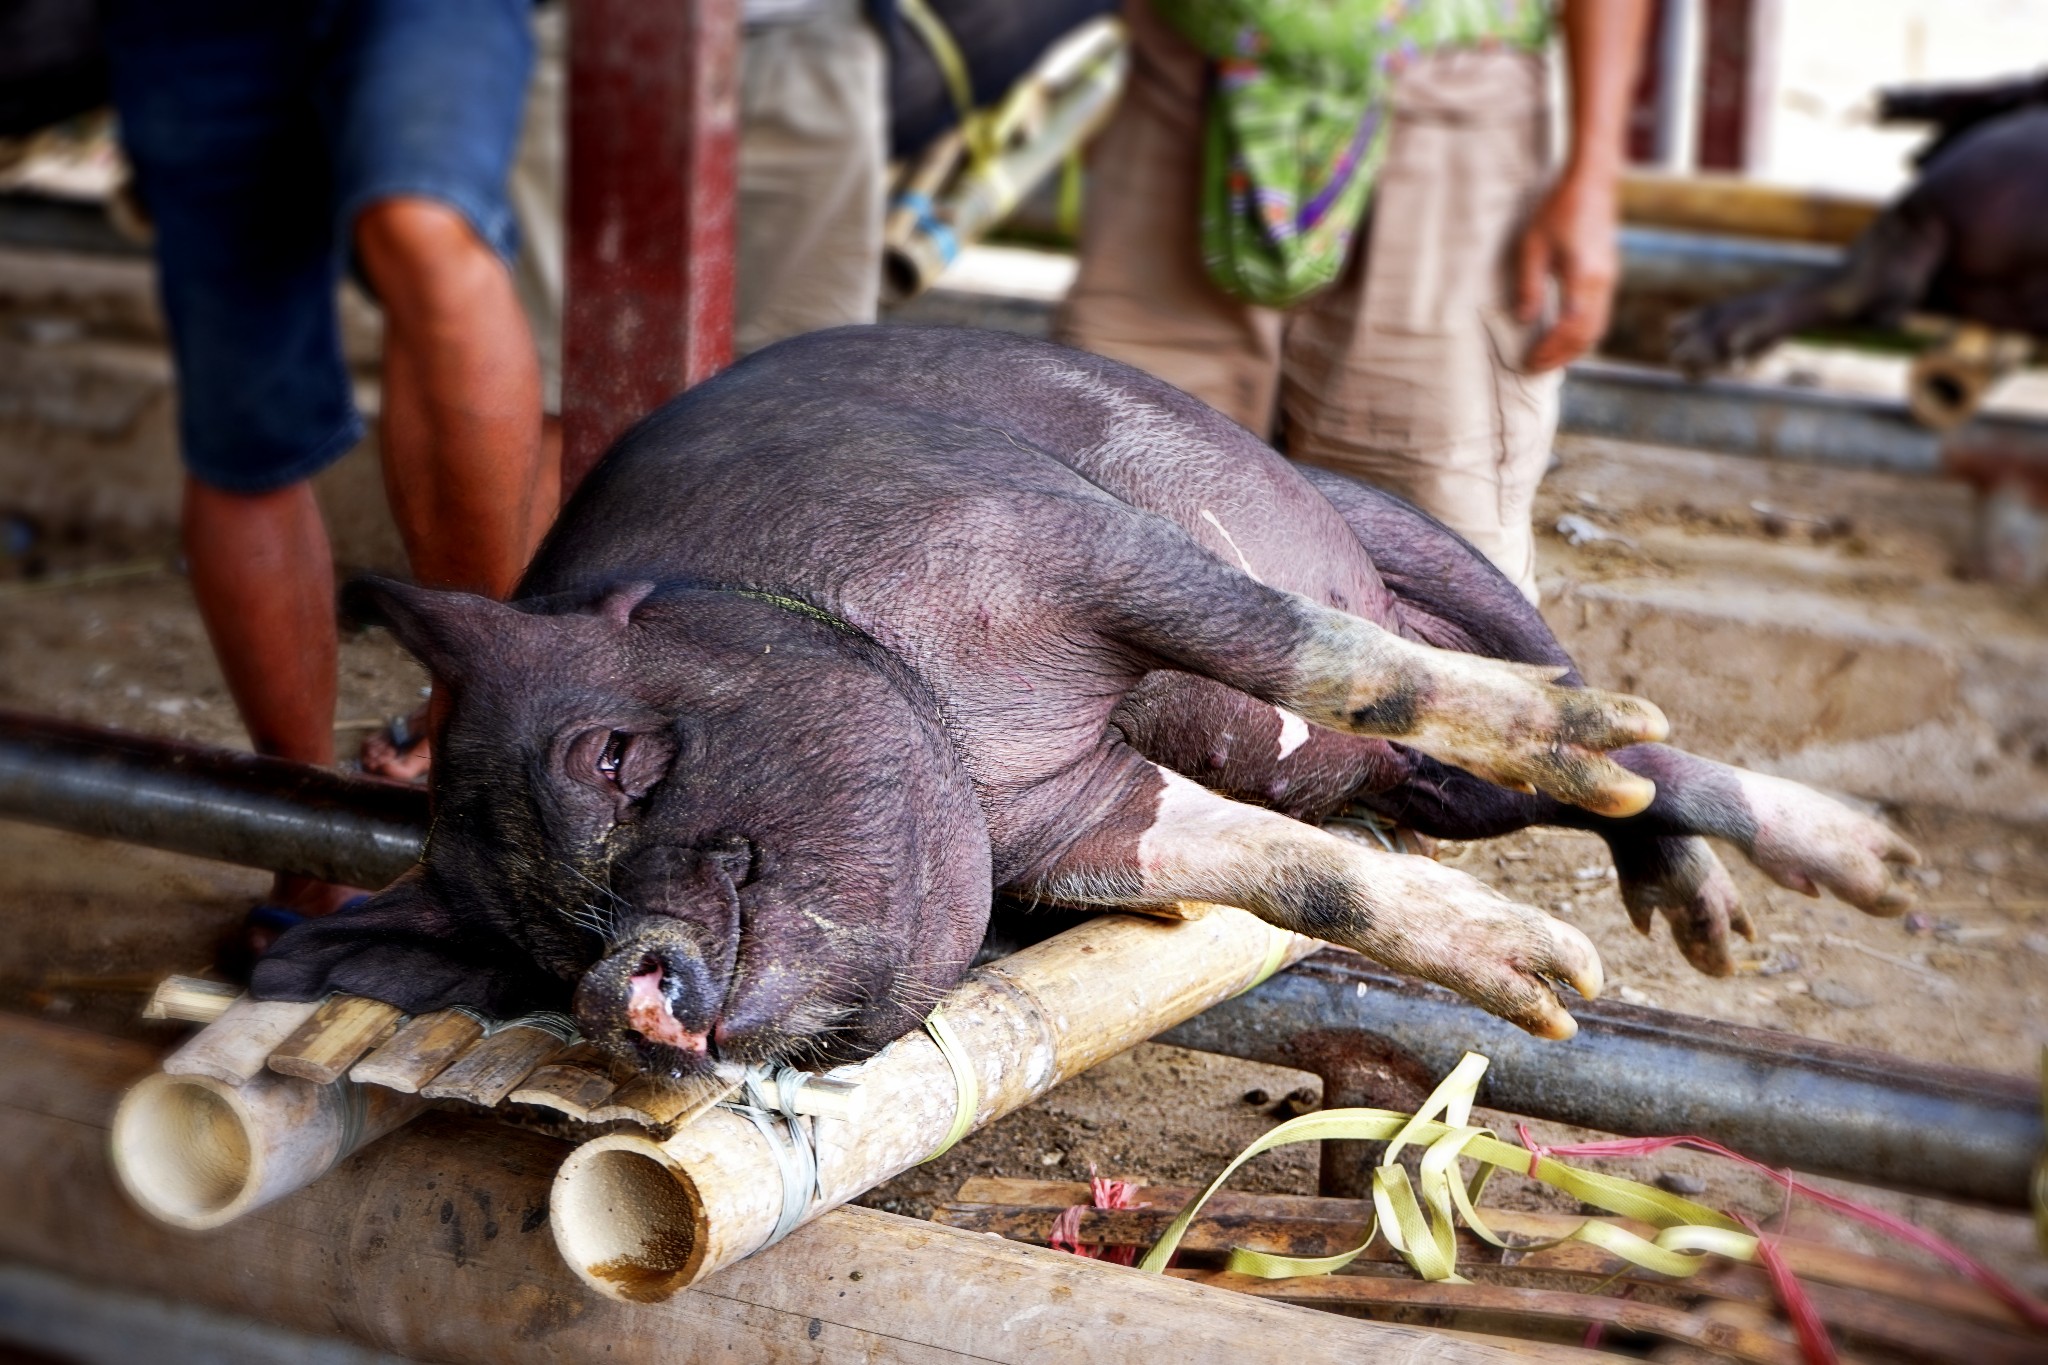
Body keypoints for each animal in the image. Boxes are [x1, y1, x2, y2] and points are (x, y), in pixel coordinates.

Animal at [251, 327, 1916, 1080]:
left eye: (611, 756)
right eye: (539, 950)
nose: (621, 992)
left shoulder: (1064, 543)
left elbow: (1313, 654)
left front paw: (1589, 960)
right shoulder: (1082, 823)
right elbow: (1298, 874)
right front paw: (1551, 986)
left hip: (1390, 526)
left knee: (1580, 699)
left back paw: (1810, 881)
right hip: (1431, 783)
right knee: (1498, 787)